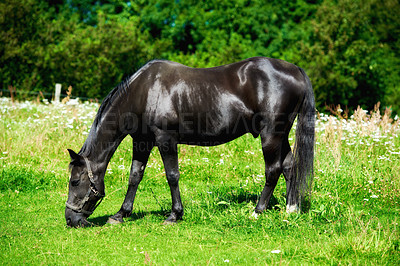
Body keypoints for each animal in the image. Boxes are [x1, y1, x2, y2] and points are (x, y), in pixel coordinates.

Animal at [66, 57, 316, 228]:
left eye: (75, 181)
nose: (70, 219)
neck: (144, 91)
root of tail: (295, 70)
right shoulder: (142, 142)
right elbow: (135, 176)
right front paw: (121, 214)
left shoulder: (165, 139)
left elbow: (172, 176)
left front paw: (174, 215)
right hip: (281, 135)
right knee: (289, 166)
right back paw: (291, 210)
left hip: (270, 135)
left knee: (273, 170)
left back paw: (257, 211)